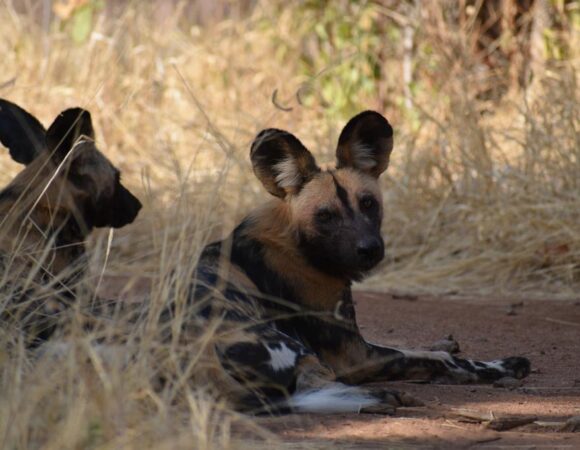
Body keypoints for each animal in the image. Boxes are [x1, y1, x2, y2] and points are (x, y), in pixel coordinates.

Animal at [186, 110, 532, 414]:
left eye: (368, 204)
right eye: (325, 216)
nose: (369, 249)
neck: (297, 244)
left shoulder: (359, 345)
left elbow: (417, 348)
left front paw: (445, 343)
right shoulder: (354, 356)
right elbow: (433, 358)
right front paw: (502, 366)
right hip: (296, 352)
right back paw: (385, 399)